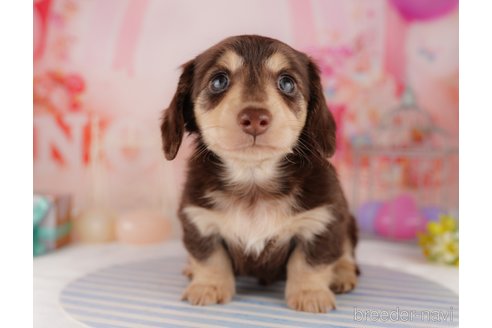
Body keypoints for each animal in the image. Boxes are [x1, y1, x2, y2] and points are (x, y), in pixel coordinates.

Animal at [160, 34, 358, 314]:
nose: (255, 118)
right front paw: (208, 287)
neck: (253, 179)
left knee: (346, 252)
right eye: (218, 81)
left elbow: (311, 261)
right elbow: (209, 257)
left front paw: (310, 294)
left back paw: (341, 274)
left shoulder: (323, 220)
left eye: (287, 82)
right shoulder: (199, 220)